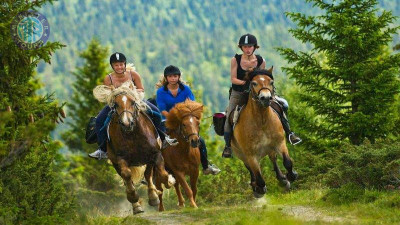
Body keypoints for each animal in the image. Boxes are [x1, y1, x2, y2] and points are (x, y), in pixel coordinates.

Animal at [94, 80, 177, 213]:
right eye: (115, 104)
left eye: (133, 102)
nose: (127, 123)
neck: (132, 135)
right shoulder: (121, 159)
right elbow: (127, 176)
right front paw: (133, 197)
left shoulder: (155, 154)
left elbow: (161, 174)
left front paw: (168, 182)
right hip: (115, 162)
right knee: (127, 179)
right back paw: (137, 206)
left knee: (147, 175)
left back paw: (153, 198)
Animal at [231, 67, 296, 198]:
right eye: (253, 83)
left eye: (271, 82)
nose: (265, 98)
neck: (261, 121)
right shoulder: (251, 155)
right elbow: (259, 177)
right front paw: (259, 189)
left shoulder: (279, 143)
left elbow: (287, 162)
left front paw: (291, 176)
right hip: (242, 155)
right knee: (250, 169)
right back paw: (255, 186)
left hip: (270, 148)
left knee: (273, 159)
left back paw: (282, 179)